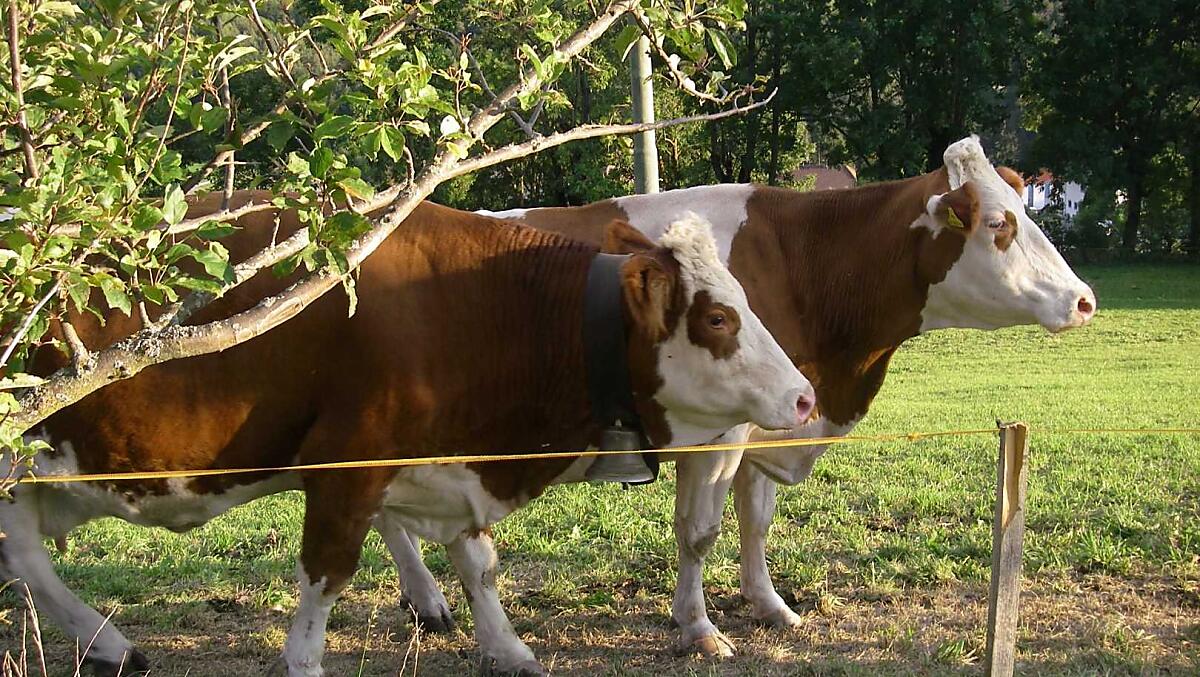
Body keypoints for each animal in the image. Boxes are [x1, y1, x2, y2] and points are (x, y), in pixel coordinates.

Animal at [0, 196, 816, 676]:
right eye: (718, 318)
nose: (804, 395)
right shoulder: (347, 467)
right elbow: (325, 578)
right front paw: (305, 662)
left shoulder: (453, 467)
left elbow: (479, 563)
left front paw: (507, 647)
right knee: (24, 554)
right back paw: (108, 642)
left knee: (25, 549)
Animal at [378, 135, 1099, 656]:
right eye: (1000, 224)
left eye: (1026, 213)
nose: (1085, 300)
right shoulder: (720, 434)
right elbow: (700, 531)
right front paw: (698, 628)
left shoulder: (774, 422)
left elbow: (757, 519)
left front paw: (770, 604)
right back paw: (436, 601)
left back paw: (426, 601)